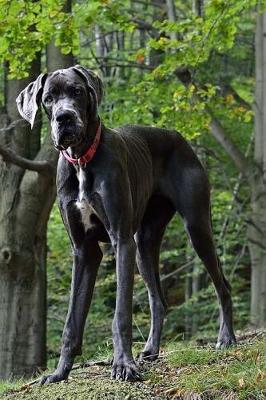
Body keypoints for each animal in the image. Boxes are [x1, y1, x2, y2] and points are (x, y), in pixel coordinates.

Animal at [16, 66, 236, 384]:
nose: (64, 117)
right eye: (48, 98)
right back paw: (151, 350)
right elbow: (72, 320)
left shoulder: (120, 240)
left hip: (196, 227)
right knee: (158, 300)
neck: (82, 160)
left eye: (77, 91)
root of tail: (178, 137)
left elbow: (121, 314)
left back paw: (226, 338)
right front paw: (59, 372)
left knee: (223, 285)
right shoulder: (84, 251)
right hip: (143, 245)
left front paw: (123, 365)